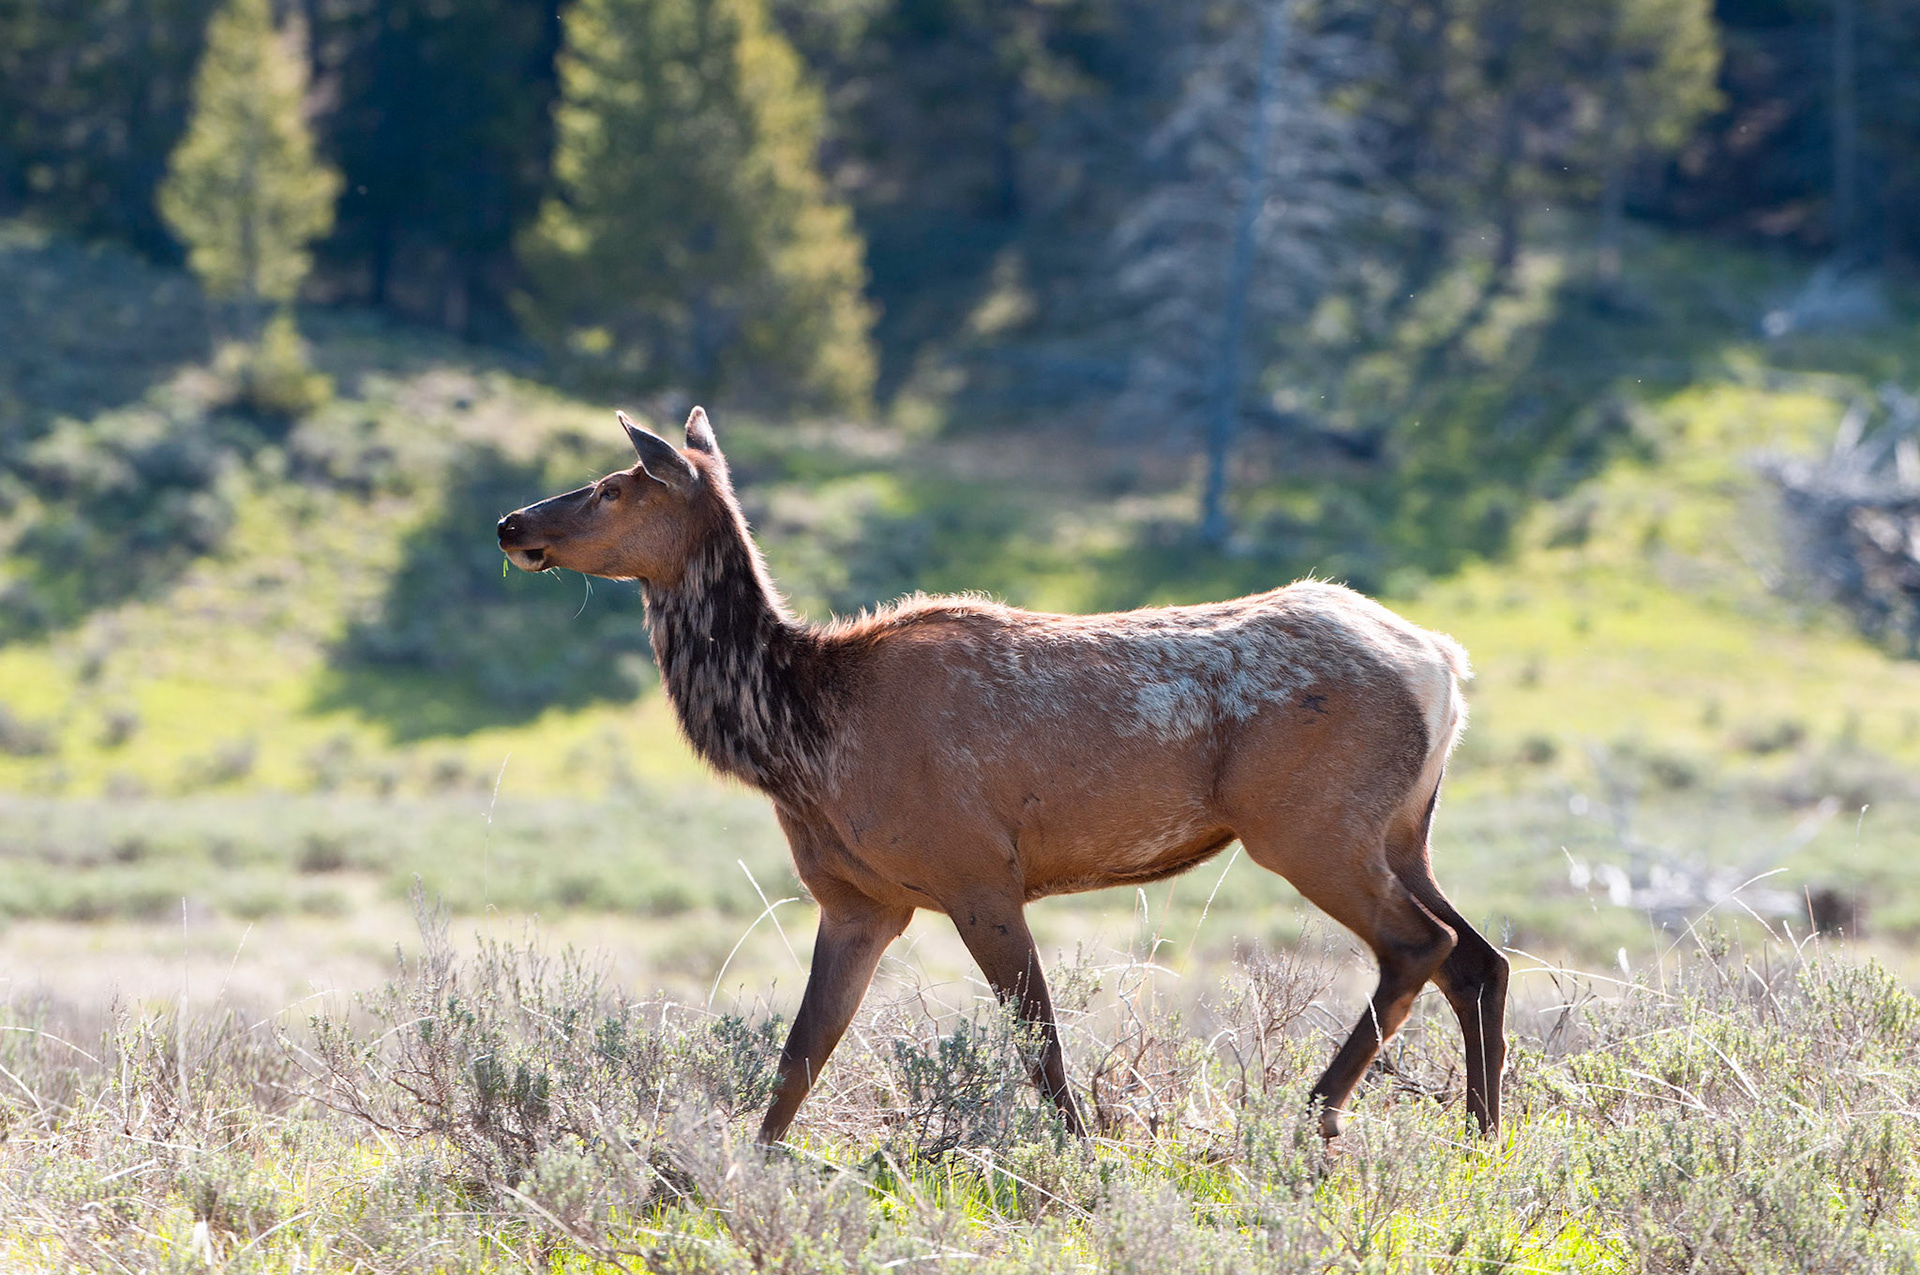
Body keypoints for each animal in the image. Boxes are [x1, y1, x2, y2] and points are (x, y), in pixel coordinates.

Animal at [496, 407, 1508, 1144]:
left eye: (613, 487)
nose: (510, 523)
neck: (803, 739)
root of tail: (1442, 663)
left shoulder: (976, 872)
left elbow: (1039, 1042)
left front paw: (1083, 1156)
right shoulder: (861, 899)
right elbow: (800, 1054)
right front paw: (733, 1173)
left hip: (1307, 824)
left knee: (1421, 944)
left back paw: (1310, 1116)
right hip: (1399, 827)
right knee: (1479, 956)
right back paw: (1480, 1134)